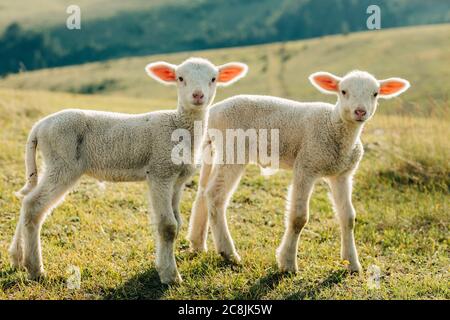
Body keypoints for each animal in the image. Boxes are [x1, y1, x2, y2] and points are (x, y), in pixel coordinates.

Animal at [9, 58, 250, 284]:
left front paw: (161, 266)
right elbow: (168, 226)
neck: (178, 125)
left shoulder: (177, 180)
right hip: (62, 162)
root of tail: (39, 127)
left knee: (27, 200)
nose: (198, 95)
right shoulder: (160, 172)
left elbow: (177, 223)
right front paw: (170, 276)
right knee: (34, 206)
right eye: (180, 78)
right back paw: (35, 269)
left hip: (53, 164)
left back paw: (17, 257)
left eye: (213, 79)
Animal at [186, 70, 408, 272]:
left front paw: (352, 263)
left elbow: (348, 218)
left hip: (215, 150)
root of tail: (213, 112)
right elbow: (299, 217)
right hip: (233, 150)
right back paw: (228, 253)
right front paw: (288, 263)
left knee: (203, 192)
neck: (334, 125)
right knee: (215, 196)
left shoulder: (342, 175)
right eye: (343, 91)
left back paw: (197, 243)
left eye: (375, 93)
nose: (360, 112)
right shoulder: (306, 166)